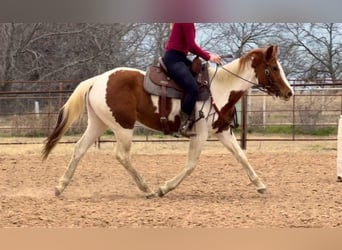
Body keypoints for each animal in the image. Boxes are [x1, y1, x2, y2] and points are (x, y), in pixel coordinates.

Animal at [43, 44, 294, 197]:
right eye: (274, 68)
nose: (289, 92)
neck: (219, 88)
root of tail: (97, 80)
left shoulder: (223, 131)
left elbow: (241, 156)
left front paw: (260, 185)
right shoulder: (200, 134)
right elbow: (191, 164)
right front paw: (165, 188)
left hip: (98, 123)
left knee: (79, 149)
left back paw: (60, 187)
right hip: (123, 127)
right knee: (121, 155)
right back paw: (147, 189)